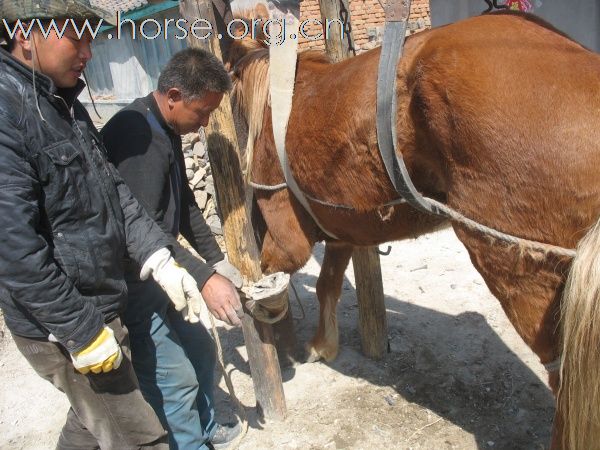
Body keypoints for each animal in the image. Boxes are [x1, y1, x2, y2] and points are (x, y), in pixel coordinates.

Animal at [229, 11, 600, 450]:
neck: (282, 99)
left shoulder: (289, 235)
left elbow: (277, 270)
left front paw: (266, 307)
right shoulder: (340, 229)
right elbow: (327, 285)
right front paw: (323, 343)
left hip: (517, 268)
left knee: (567, 383)